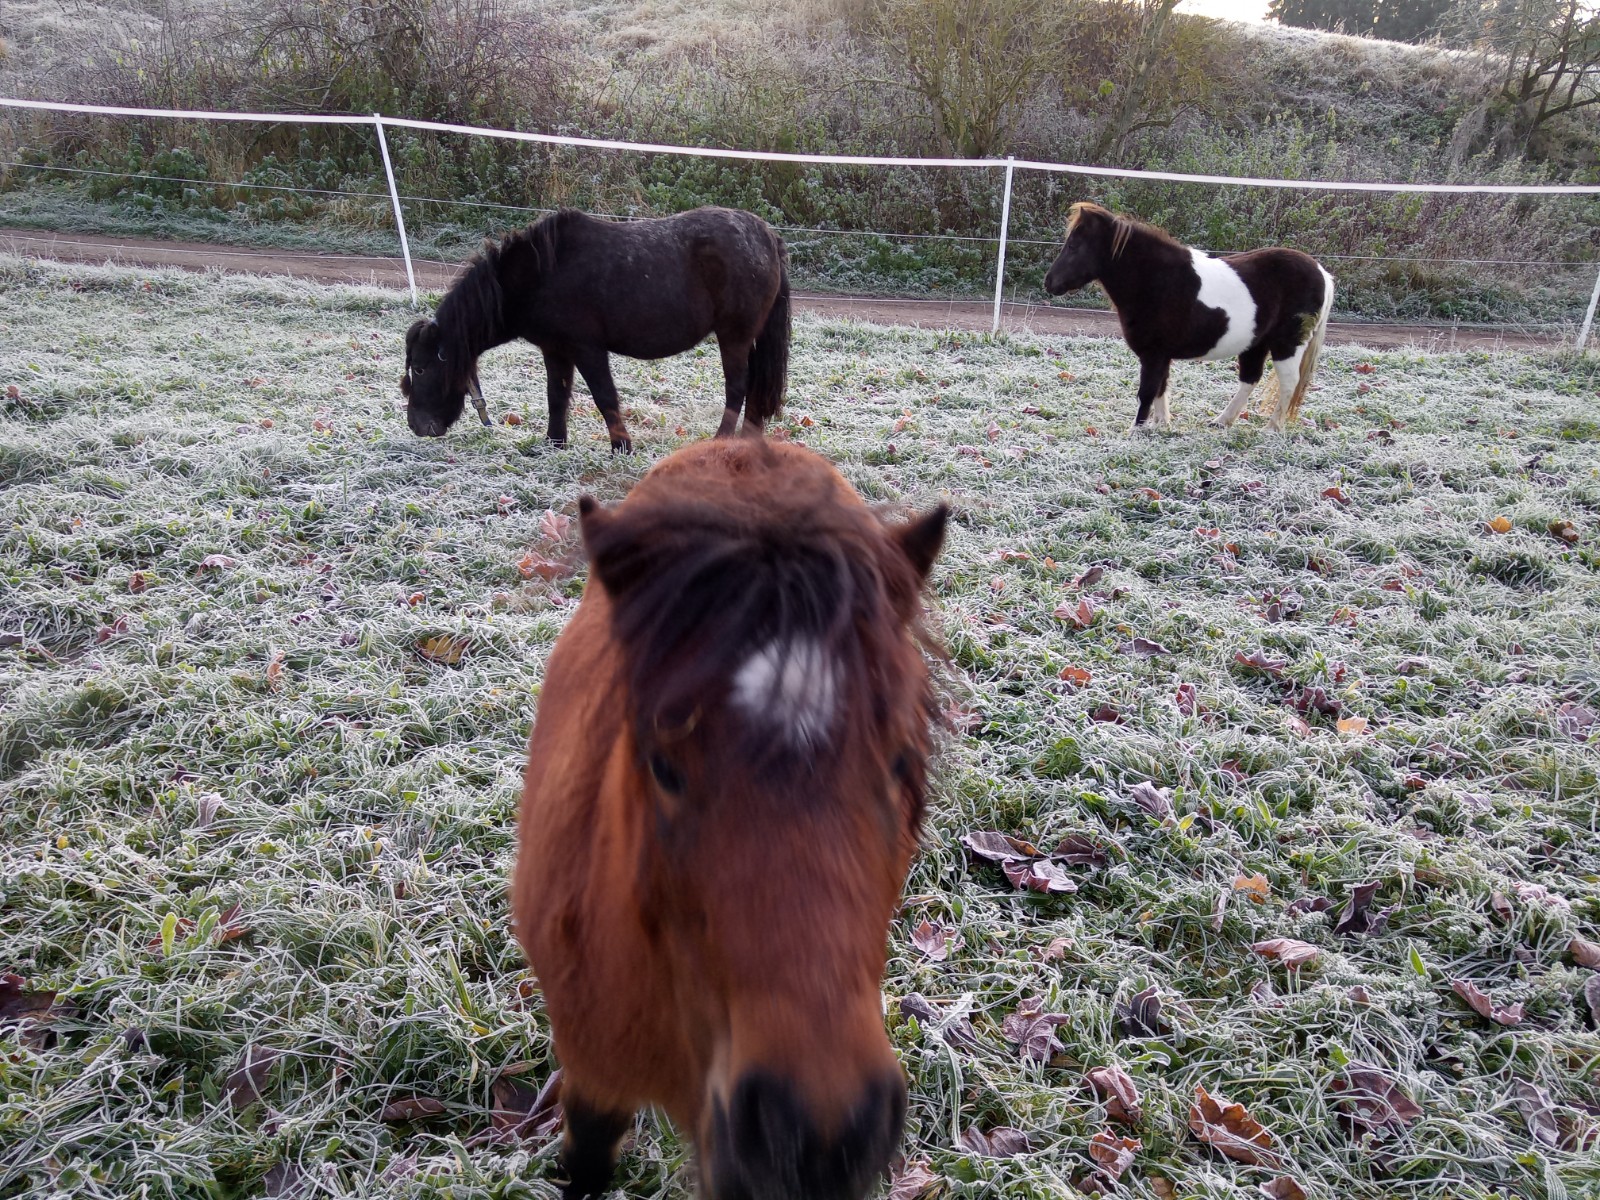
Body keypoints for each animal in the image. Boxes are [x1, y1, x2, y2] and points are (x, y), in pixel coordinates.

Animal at [403, 206, 790, 451]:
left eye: (420, 368)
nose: (416, 426)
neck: (542, 275)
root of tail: (767, 236)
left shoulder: (587, 349)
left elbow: (605, 397)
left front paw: (621, 447)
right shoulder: (555, 350)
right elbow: (557, 396)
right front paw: (554, 443)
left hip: (734, 337)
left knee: (737, 388)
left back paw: (721, 441)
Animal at [1043, 204, 1331, 435]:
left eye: (1073, 246)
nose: (1049, 282)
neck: (1159, 280)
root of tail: (1322, 273)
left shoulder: (1153, 354)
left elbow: (1147, 390)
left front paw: (1136, 430)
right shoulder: (1161, 356)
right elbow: (1161, 387)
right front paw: (1161, 425)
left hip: (1286, 345)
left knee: (1288, 382)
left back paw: (1272, 428)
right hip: (1255, 344)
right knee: (1250, 379)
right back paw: (1222, 421)